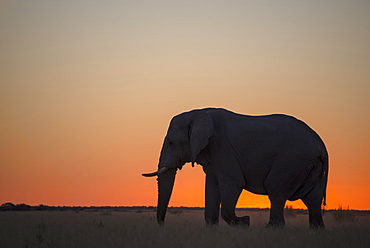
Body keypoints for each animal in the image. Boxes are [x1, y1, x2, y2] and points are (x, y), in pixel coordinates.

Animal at [142, 107, 326, 228]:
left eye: (171, 143)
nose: (162, 226)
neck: (197, 112)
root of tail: (320, 144)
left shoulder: (223, 148)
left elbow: (234, 183)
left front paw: (245, 222)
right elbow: (212, 187)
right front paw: (212, 231)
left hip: (291, 161)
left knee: (276, 193)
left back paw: (272, 229)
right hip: (307, 166)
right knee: (313, 199)